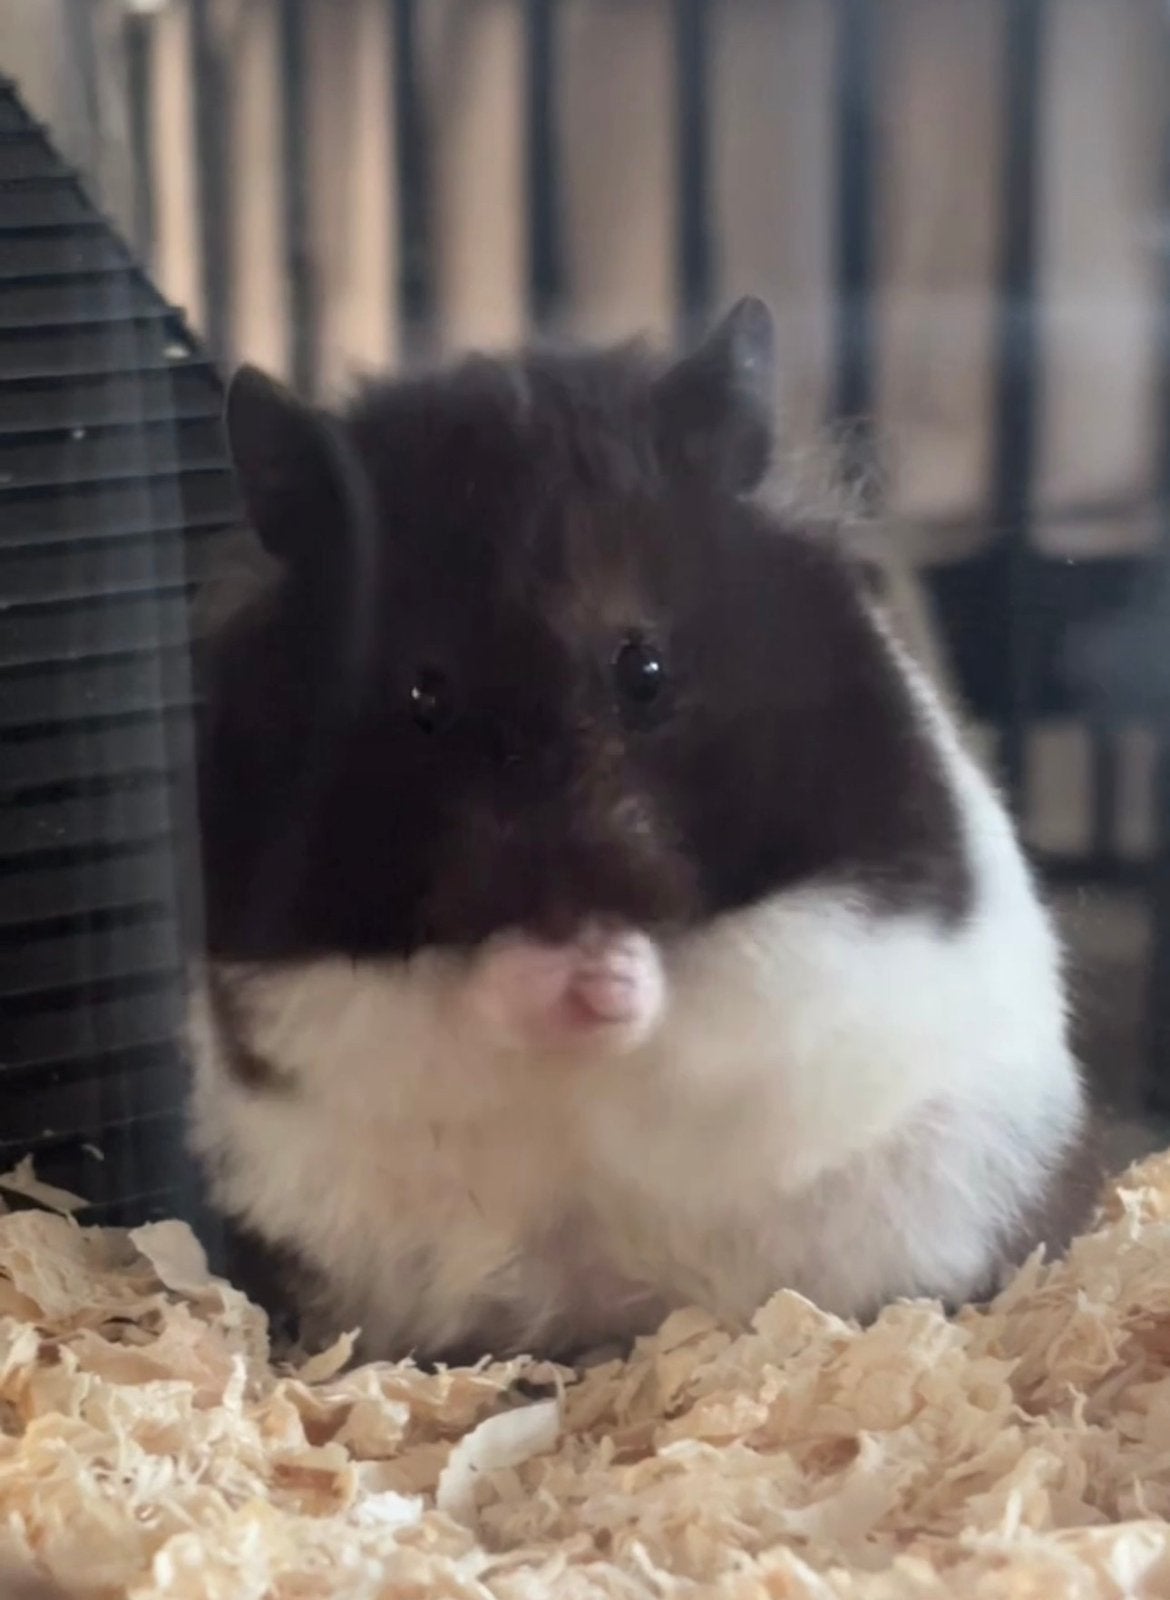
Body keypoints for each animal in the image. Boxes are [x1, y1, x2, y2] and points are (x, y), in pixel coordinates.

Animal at [187, 297, 1094, 1365]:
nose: (560, 895)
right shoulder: (292, 982)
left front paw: (609, 970)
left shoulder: (848, 923)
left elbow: (701, 980)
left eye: (645, 669)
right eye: (422, 697)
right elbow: (442, 1003)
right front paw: (546, 972)